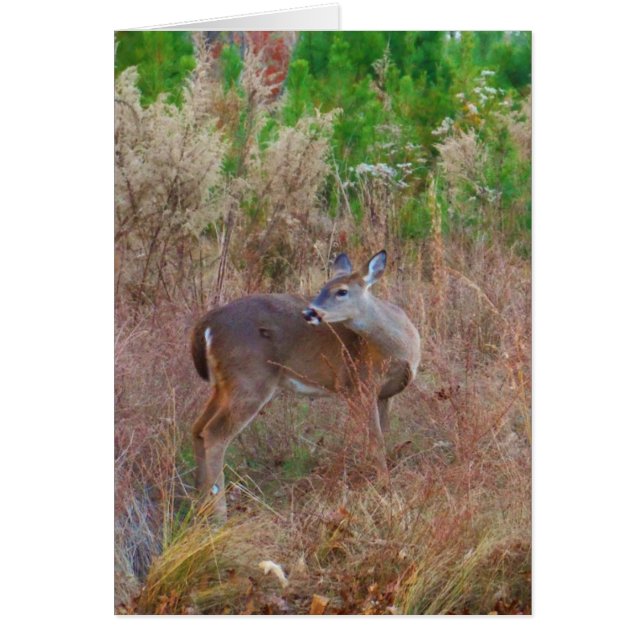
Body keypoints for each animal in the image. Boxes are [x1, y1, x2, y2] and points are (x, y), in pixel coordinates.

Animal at [189, 250, 421, 518]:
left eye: (341, 291)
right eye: (322, 287)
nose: (310, 312)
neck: (400, 348)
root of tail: (206, 325)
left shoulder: (384, 394)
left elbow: (381, 435)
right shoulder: (358, 384)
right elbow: (375, 441)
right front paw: (385, 489)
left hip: (224, 384)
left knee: (197, 428)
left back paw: (199, 505)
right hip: (249, 379)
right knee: (214, 434)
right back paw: (219, 513)